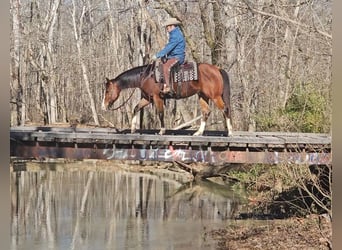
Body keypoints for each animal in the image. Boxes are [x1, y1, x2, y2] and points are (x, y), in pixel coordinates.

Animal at [101, 62, 232, 137]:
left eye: (107, 91)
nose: (103, 106)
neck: (146, 76)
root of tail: (217, 69)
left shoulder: (157, 97)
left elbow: (160, 114)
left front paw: (162, 131)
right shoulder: (147, 98)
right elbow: (136, 108)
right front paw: (133, 129)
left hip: (215, 96)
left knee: (225, 109)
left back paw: (230, 132)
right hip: (203, 96)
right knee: (206, 112)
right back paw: (198, 132)